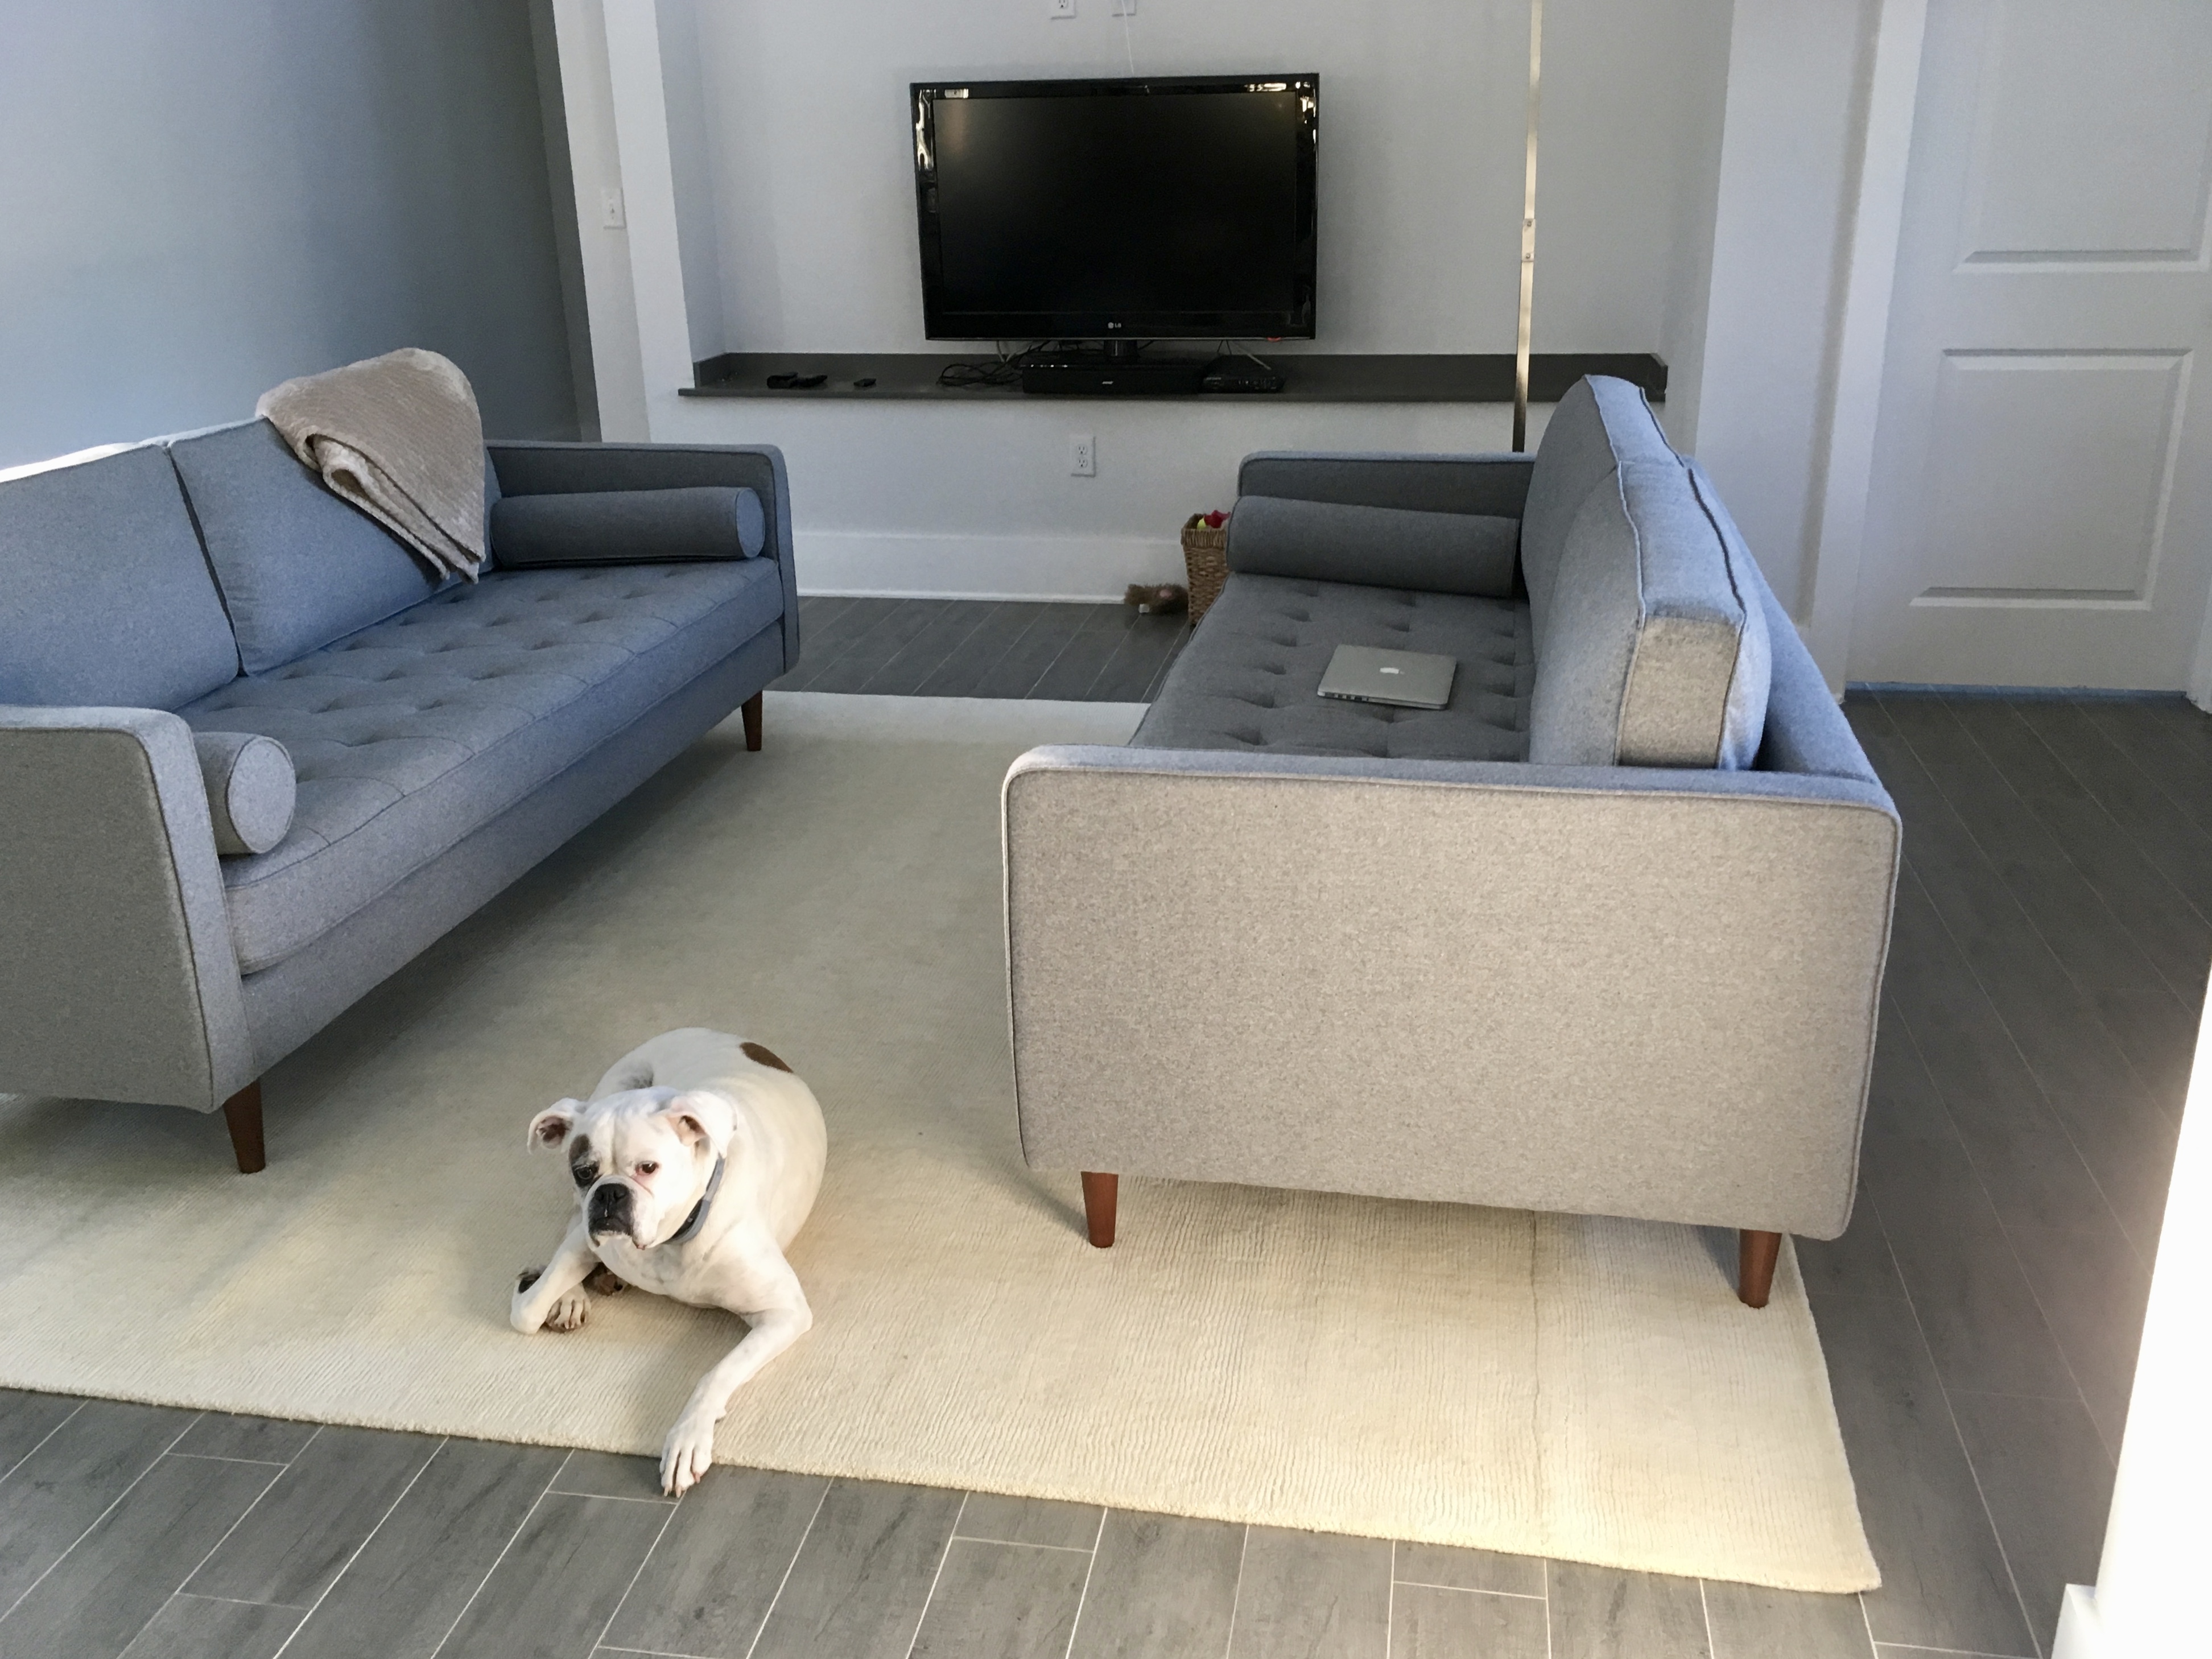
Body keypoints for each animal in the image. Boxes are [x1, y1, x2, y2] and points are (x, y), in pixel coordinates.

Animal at [510, 1027, 827, 1495]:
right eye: (584, 1172)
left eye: (648, 1167)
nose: (609, 1193)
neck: (670, 1240)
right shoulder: (587, 1237)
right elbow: (527, 1311)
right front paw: (551, 1289)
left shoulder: (783, 1313)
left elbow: (716, 1373)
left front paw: (688, 1438)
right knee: (570, 1223)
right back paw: (573, 1296)